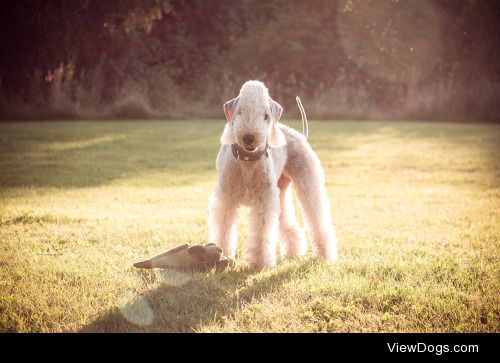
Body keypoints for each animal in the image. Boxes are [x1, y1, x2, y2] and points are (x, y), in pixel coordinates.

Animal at [205, 81, 338, 268]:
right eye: (240, 112)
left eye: (266, 116)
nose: (248, 137)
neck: (248, 160)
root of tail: (299, 135)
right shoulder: (226, 198)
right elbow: (223, 228)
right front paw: (223, 256)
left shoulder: (264, 200)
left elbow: (262, 232)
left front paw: (260, 261)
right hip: (280, 192)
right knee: (289, 224)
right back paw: (293, 252)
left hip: (306, 183)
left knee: (317, 218)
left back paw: (325, 255)